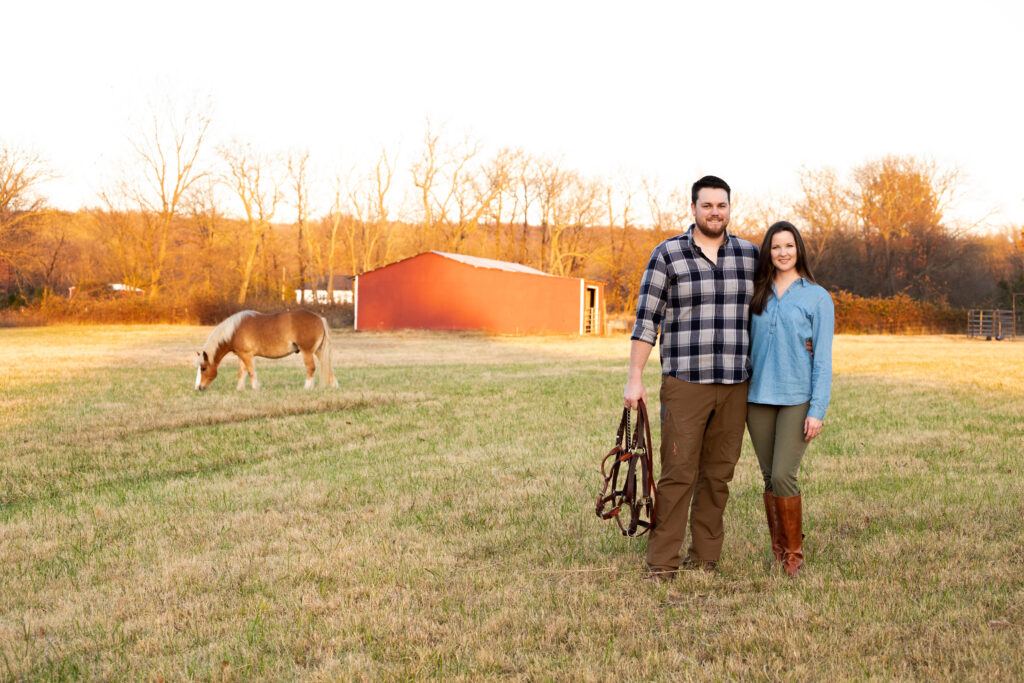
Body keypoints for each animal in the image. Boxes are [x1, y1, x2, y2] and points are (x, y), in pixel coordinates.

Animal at [192, 309, 335, 389]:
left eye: (203, 368)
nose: (199, 387)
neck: (234, 331)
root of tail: (319, 318)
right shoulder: (242, 356)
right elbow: (242, 372)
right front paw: (240, 389)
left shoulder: (247, 356)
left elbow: (250, 372)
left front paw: (255, 388)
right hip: (319, 351)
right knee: (328, 366)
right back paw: (333, 386)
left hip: (307, 352)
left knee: (311, 368)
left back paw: (307, 388)